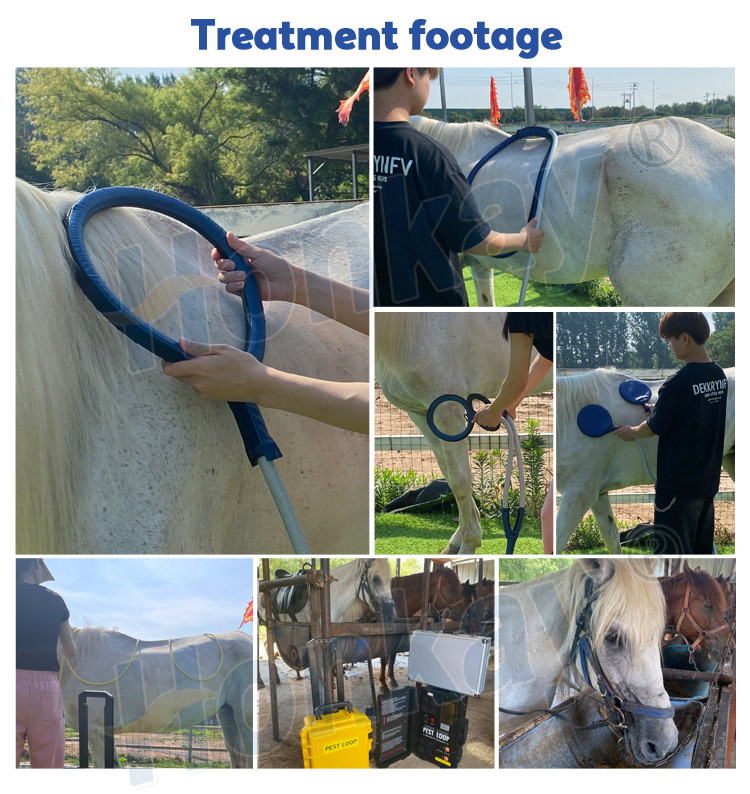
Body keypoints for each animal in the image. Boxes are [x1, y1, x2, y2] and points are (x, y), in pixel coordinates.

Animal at [375, 311, 553, 553]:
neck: (417, 327)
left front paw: (469, 544)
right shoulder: (421, 414)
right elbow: (450, 476)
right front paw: (456, 542)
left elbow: (460, 479)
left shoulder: (448, 412)